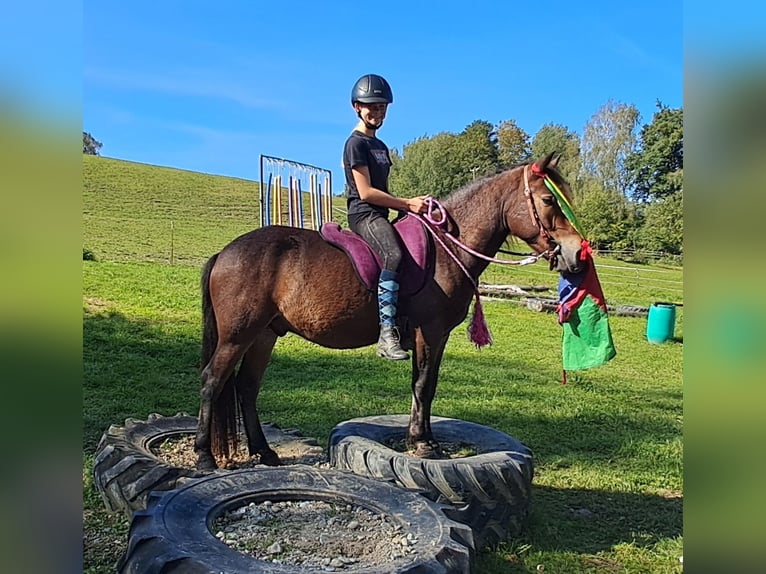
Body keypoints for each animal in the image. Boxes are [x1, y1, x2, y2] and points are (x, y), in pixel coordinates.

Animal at [195, 153, 584, 472]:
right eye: (548, 199)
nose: (576, 252)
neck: (445, 248)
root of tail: (224, 253)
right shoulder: (430, 331)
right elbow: (424, 385)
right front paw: (423, 444)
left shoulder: (436, 336)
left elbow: (425, 385)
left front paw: (421, 438)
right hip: (236, 336)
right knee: (212, 381)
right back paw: (205, 456)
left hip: (264, 334)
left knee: (247, 387)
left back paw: (264, 452)